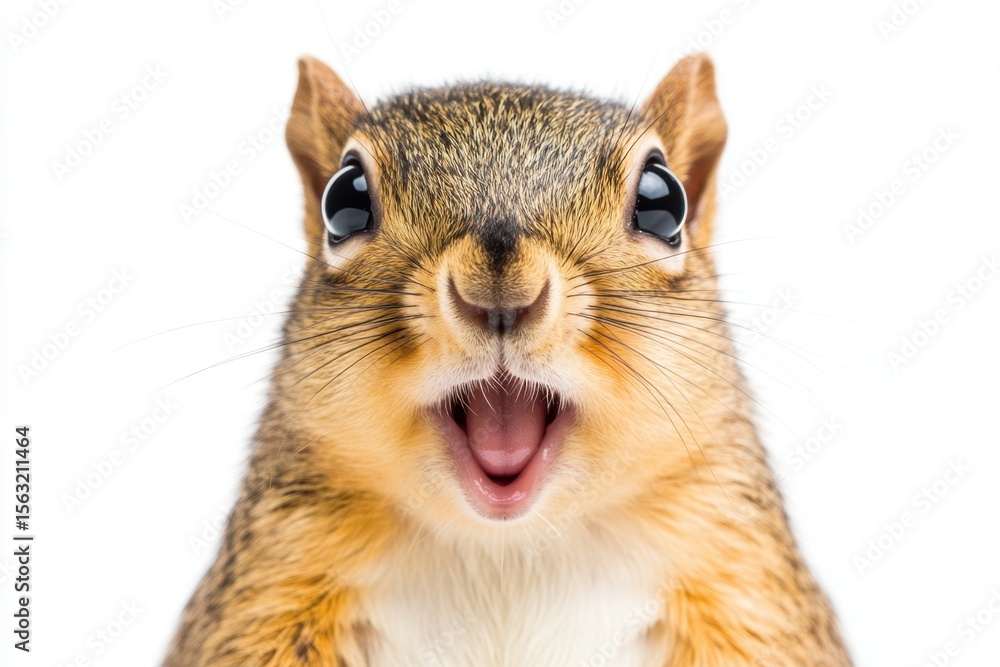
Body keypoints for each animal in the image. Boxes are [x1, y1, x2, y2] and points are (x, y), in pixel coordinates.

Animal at [164, 54, 852, 667]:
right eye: (344, 199)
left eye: (664, 202)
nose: (499, 292)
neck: (508, 549)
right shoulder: (272, 584)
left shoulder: (744, 585)